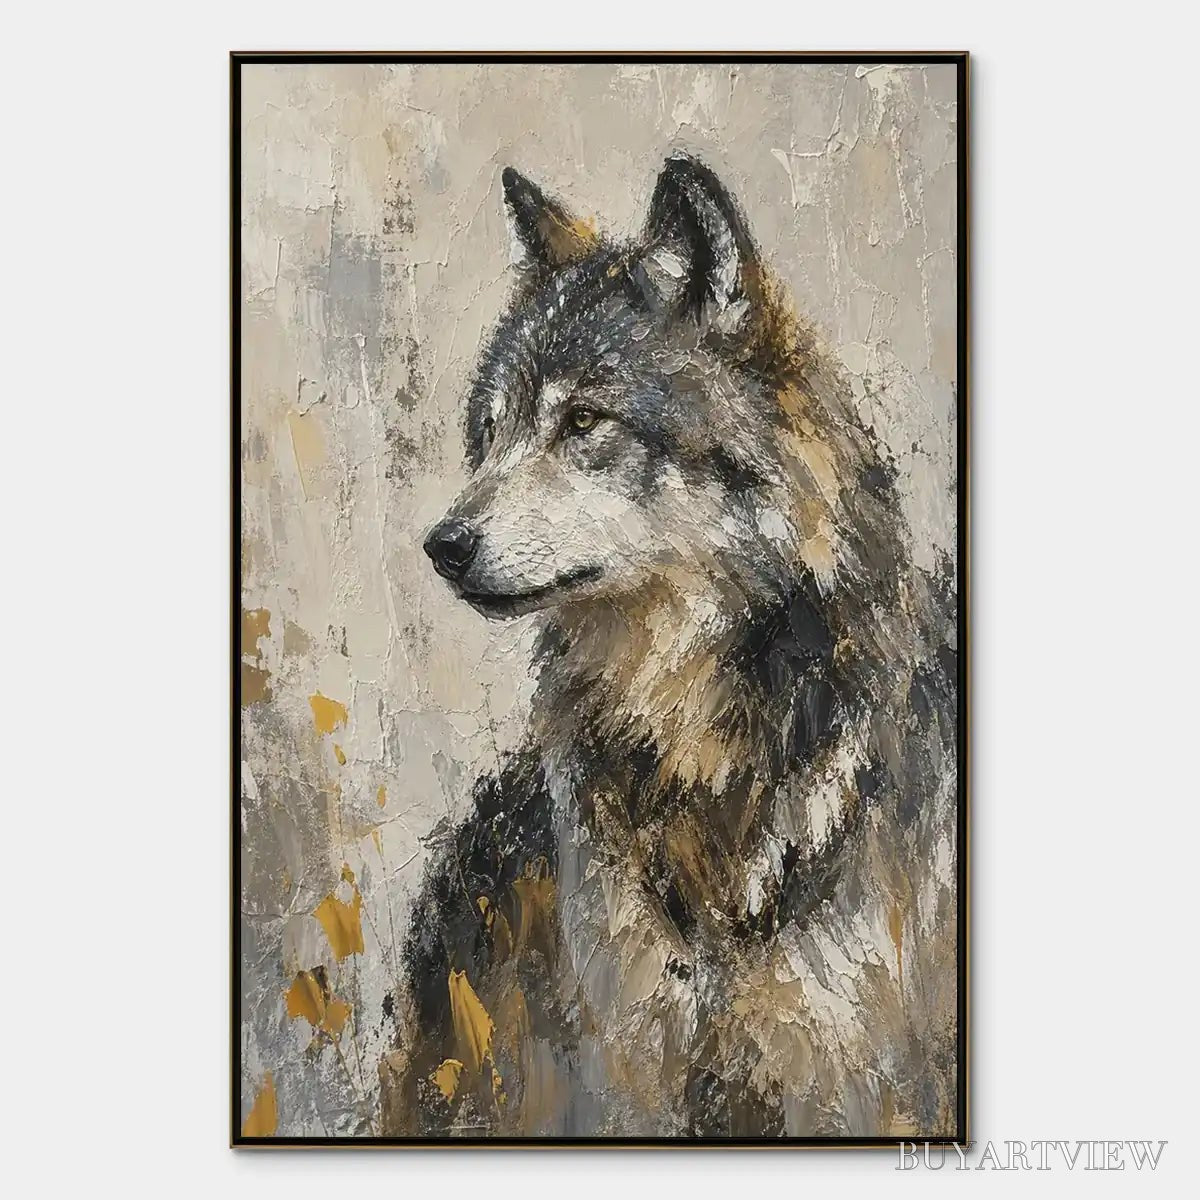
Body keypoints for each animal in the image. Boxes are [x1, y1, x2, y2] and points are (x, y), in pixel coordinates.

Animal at [381, 155, 959, 1138]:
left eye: (583, 422)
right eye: (491, 434)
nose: (441, 545)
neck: (694, 756)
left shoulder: (848, 1081)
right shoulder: (628, 1066)